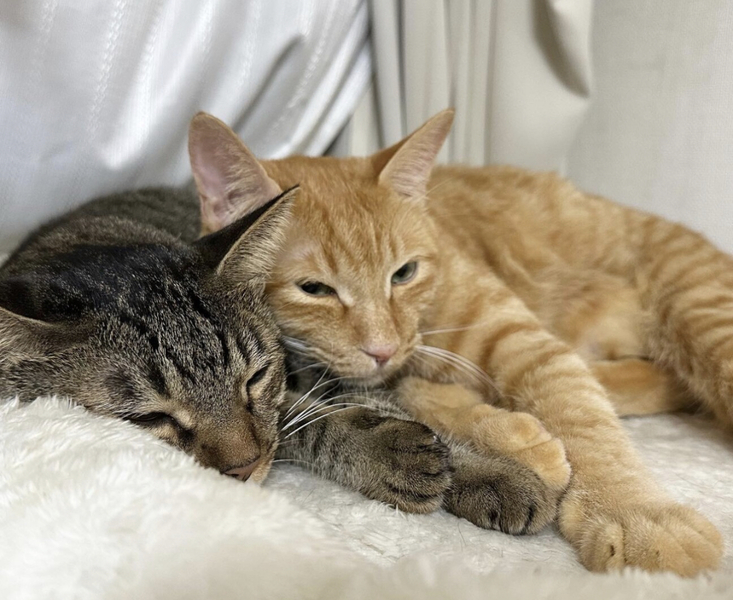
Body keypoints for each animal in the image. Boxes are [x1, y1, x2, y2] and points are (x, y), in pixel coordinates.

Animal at [186, 110, 726, 576]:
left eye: (404, 273)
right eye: (314, 289)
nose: (382, 348)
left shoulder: (524, 343)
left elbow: (582, 418)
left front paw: (634, 515)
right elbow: (407, 392)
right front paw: (515, 437)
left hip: (699, 311)